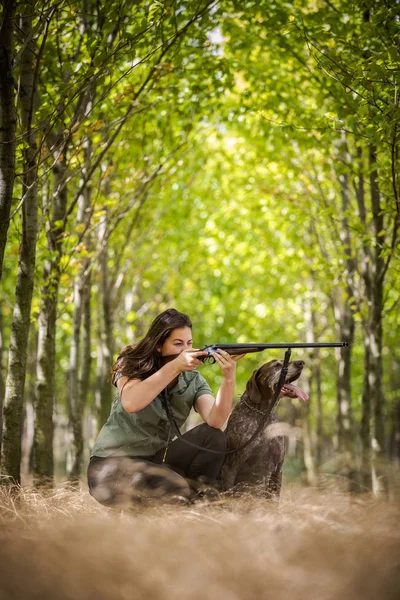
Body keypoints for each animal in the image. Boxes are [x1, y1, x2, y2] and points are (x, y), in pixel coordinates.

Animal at [220, 358, 308, 500]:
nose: (301, 362)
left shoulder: (278, 470)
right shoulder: (230, 467)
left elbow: (274, 499)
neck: (262, 413)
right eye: (276, 365)